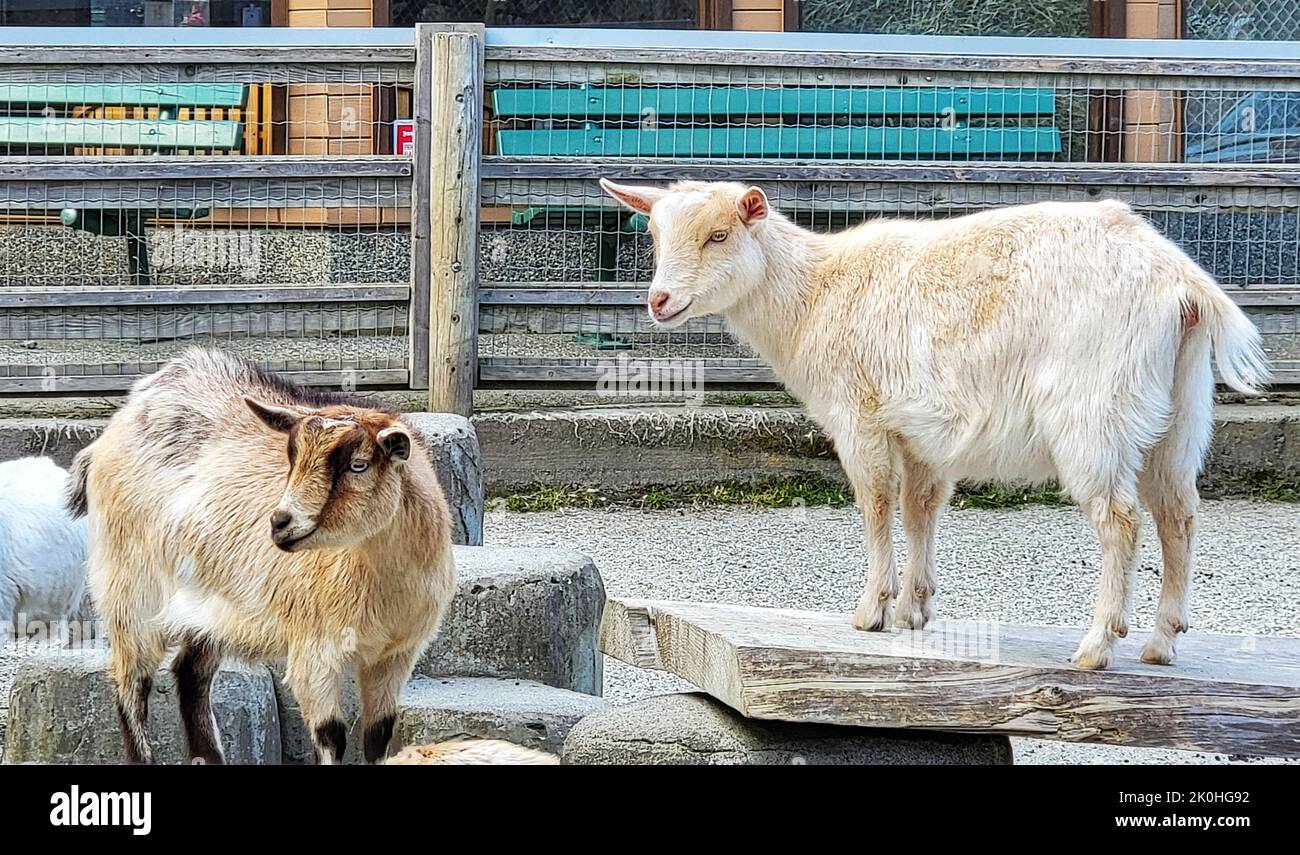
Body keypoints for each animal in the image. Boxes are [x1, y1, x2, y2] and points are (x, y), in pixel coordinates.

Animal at [71, 350, 460, 764]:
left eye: (359, 464)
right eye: (292, 457)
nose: (279, 522)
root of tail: (127, 415)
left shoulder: (396, 654)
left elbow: (378, 737)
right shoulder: (314, 651)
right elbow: (331, 735)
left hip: (209, 607)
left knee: (190, 673)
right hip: (129, 590)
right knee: (132, 683)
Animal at [605, 179, 1268, 670]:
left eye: (718, 235)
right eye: (655, 234)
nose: (659, 301)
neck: (814, 293)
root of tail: (1182, 284)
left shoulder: (860, 415)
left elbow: (876, 502)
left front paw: (871, 611)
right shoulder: (922, 432)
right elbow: (920, 507)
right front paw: (914, 610)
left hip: (1094, 414)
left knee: (1122, 521)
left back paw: (1098, 644)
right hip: (1179, 414)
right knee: (1178, 514)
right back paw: (1162, 642)